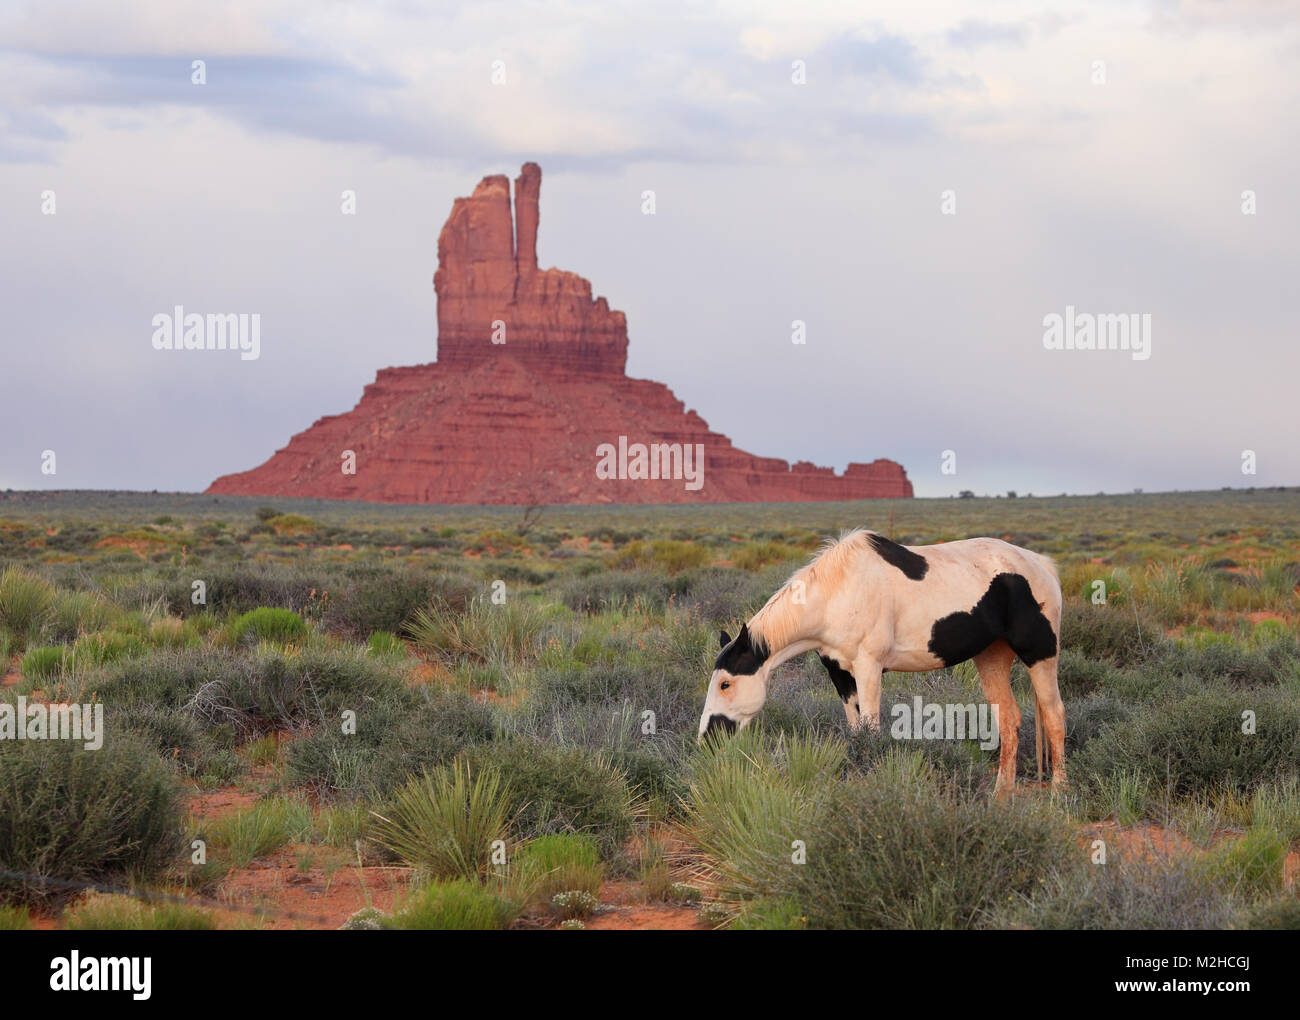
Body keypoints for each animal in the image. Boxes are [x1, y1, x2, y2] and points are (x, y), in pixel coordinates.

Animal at [696, 530, 1060, 790]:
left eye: (725, 683)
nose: (707, 739)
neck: (837, 594)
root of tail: (1041, 564)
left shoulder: (869, 668)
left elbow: (871, 730)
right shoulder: (840, 673)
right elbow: (857, 730)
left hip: (1040, 656)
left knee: (1055, 715)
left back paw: (1058, 791)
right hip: (992, 657)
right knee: (1009, 720)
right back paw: (1002, 794)